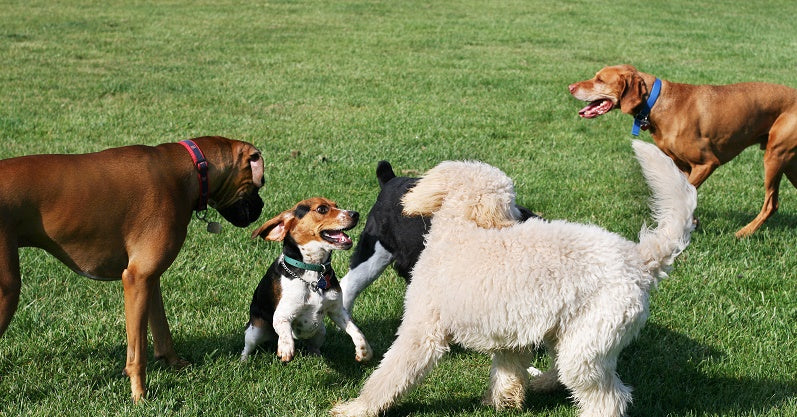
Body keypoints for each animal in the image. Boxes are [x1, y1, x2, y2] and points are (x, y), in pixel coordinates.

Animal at [0, 136, 268, 400]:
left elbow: (162, 330)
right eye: (260, 183)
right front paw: (139, 394)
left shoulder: (150, 280)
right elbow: (137, 352)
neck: (192, 167)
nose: (263, 206)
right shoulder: (136, 280)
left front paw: (173, 363)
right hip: (8, 291)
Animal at [564, 63, 796, 236]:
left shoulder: (707, 163)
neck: (657, 102)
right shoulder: (682, 167)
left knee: (771, 204)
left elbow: (684, 192)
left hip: (775, 156)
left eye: (600, 80)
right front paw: (691, 222)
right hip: (788, 166)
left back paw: (744, 232)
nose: (570, 87)